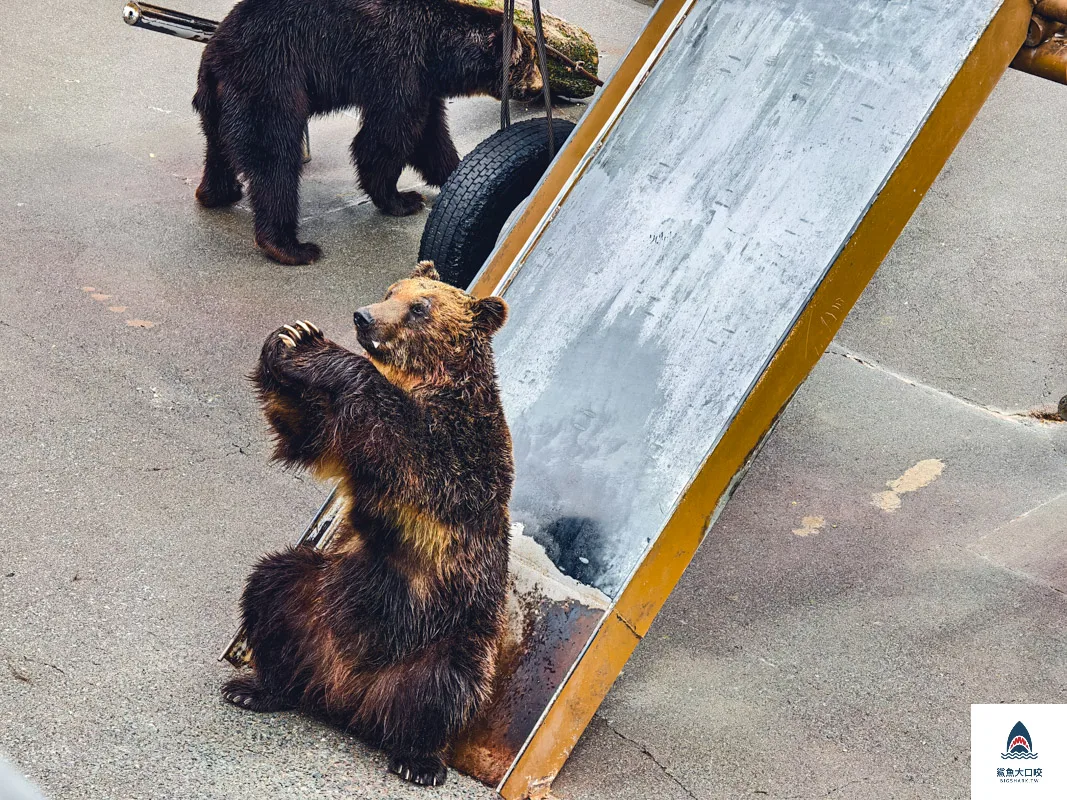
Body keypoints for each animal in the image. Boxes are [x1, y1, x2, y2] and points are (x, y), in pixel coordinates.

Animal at [192, 0, 543, 266]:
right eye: (528, 62)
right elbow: (387, 136)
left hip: (219, 102)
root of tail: (215, 55)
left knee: (219, 146)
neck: (436, 51)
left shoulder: (422, 83)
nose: (539, 87)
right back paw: (292, 246)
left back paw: (219, 192)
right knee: (274, 159)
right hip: (272, 79)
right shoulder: (397, 66)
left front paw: (458, 173)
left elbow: (431, 135)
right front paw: (402, 198)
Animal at [222, 261, 513, 787]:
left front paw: (317, 348)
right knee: (272, 586)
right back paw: (258, 687)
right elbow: (309, 432)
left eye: (421, 306)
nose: (364, 316)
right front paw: (290, 338)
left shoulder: (462, 451)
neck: (422, 378)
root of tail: (349, 697)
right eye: (391, 290)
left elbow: (409, 441)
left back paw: (418, 759)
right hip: (321, 594)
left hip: (452, 628)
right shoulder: (342, 434)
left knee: (449, 685)